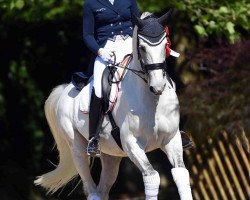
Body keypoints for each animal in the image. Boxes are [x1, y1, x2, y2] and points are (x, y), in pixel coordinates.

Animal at [34, 9, 192, 200]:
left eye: (165, 45)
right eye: (142, 47)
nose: (158, 87)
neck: (152, 102)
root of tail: (65, 90)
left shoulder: (172, 139)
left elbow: (181, 174)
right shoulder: (132, 144)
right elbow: (152, 176)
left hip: (111, 154)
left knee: (103, 189)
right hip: (77, 147)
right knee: (91, 189)